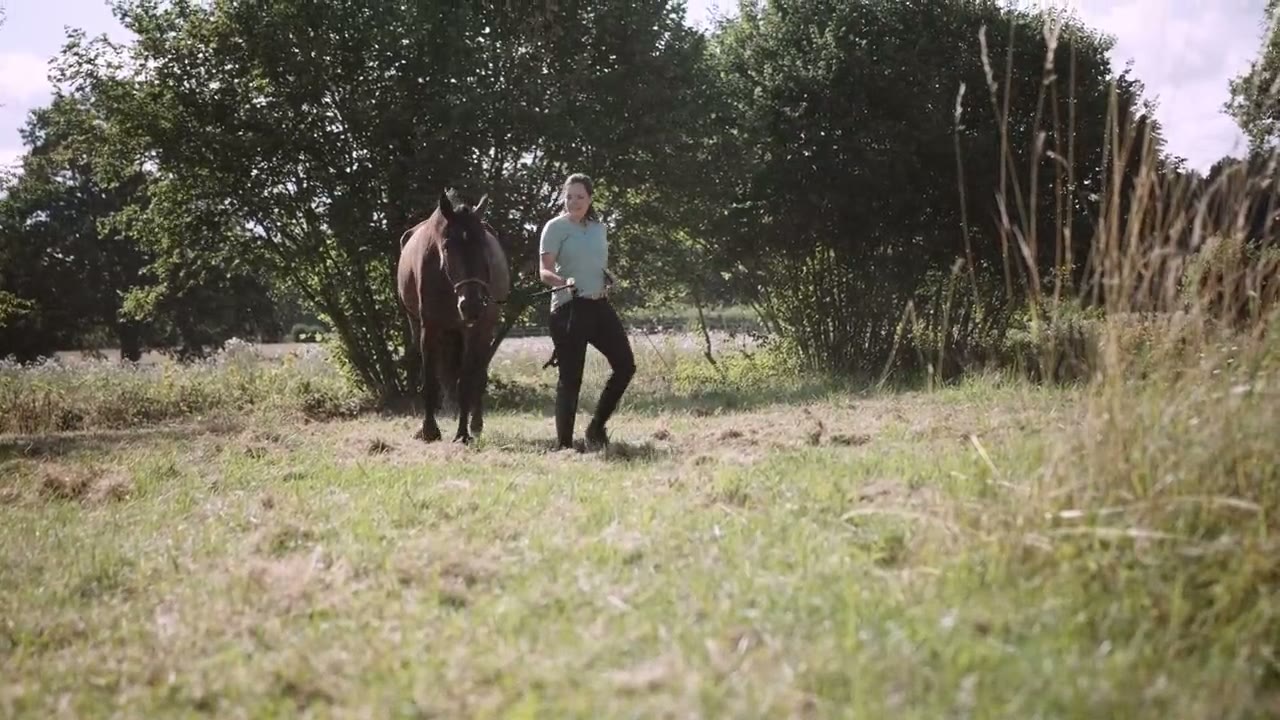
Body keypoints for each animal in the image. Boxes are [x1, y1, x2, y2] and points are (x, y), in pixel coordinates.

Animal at [396, 191, 510, 444]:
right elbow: (431, 380)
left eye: (484, 246)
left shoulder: (473, 330)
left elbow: (466, 381)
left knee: (478, 373)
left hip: (483, 328)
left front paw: (462, 433)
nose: (472, 306)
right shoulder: (429, 328)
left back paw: (475, 424)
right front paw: (429, 430)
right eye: (447, 247)